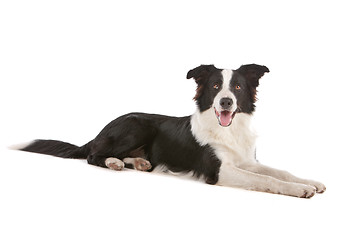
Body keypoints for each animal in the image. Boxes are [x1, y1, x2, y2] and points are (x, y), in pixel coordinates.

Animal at [16, 63, 326, 197]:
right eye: (215, 86)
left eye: (237, 87)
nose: (225, 101)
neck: (228, 130)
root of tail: (102, 129)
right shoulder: (218, 171)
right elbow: (267, 180)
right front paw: (300, 190)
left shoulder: (246, 160)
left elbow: (279, 172)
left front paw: (310, 181)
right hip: (136, 125)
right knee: (93, 155)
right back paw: (115, 161)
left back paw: (139, 162)